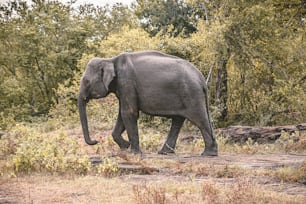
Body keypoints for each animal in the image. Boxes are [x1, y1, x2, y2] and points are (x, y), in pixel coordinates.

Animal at [77, 51, 219, 156]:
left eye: (87, 82)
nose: (95, 141)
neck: (110, 60)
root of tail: (201, 78)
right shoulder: (122, 87)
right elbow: (122, 115)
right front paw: (126, 146)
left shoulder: (126, 82)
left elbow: (128, 112)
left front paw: (133, 153)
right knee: (178, 120)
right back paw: (164, 153)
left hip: (191, 94)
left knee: (199, 119)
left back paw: (208, 154)